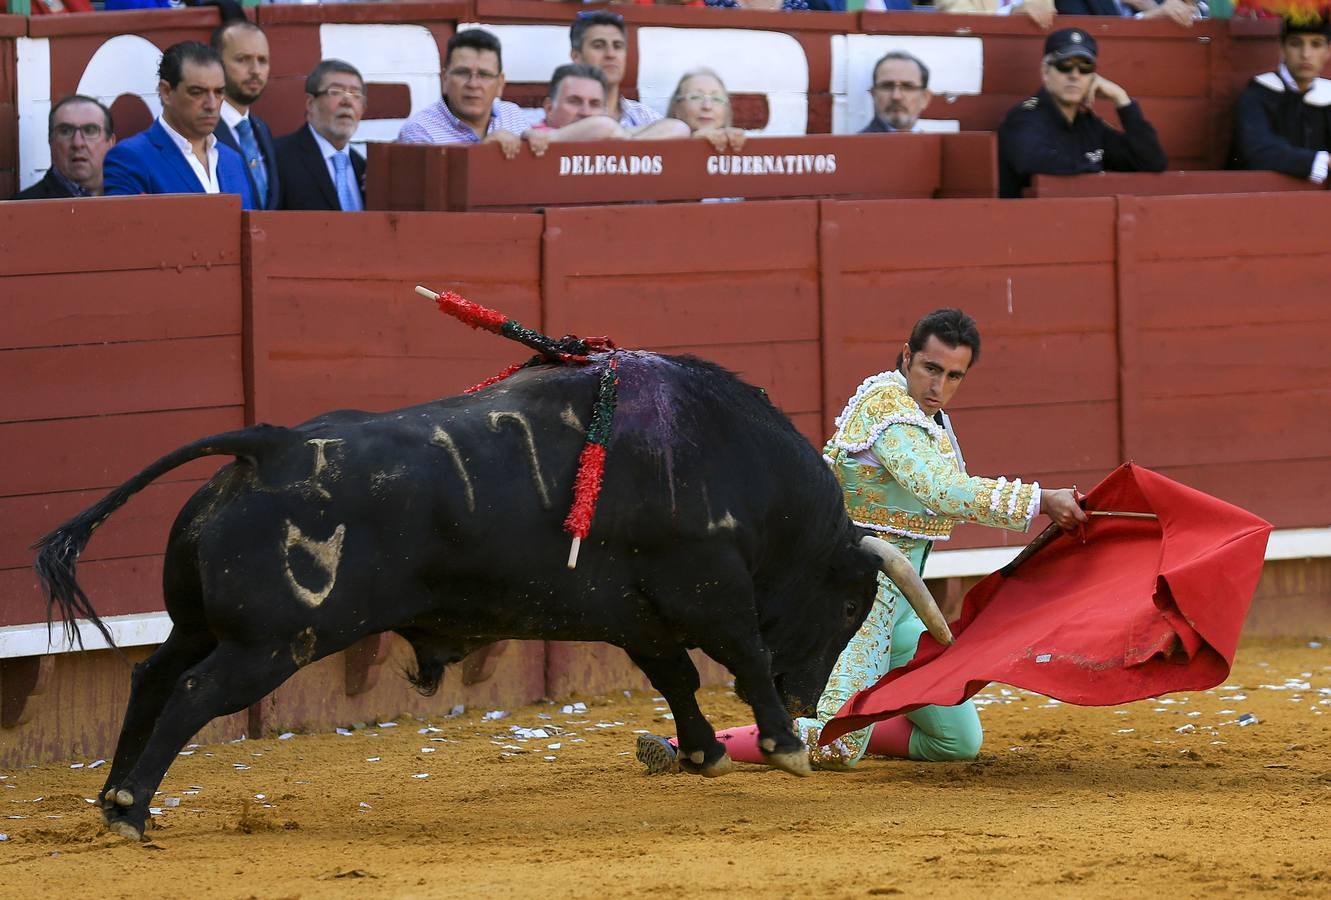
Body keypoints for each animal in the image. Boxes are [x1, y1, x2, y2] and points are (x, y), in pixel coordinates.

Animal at [33, 348, 947, 836]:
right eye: (847, 606)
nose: (807, 701)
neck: (743, 468)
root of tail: (272, 446)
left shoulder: (636, 613)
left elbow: (678, 680)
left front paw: (702, 752)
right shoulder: (706, 586)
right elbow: (740, 658)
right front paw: (783, 746)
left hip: (200, 623)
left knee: (152, 676)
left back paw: (112, 796)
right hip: (272, 644)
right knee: (191, 693)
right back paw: (131, 808)